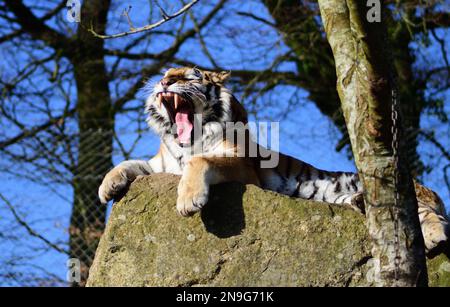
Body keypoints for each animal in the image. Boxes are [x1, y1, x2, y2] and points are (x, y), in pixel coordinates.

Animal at [99, 67, 450, 255]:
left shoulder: (240, 164)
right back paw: (359, 202)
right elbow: (130, 163)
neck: (186, 139)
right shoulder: (162, 166)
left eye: (192, 75)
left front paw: (189, 200)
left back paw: (435, 237)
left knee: (427, 216)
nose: (164, 82)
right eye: (165, 74)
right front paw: (107, 187)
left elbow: (201, 161)